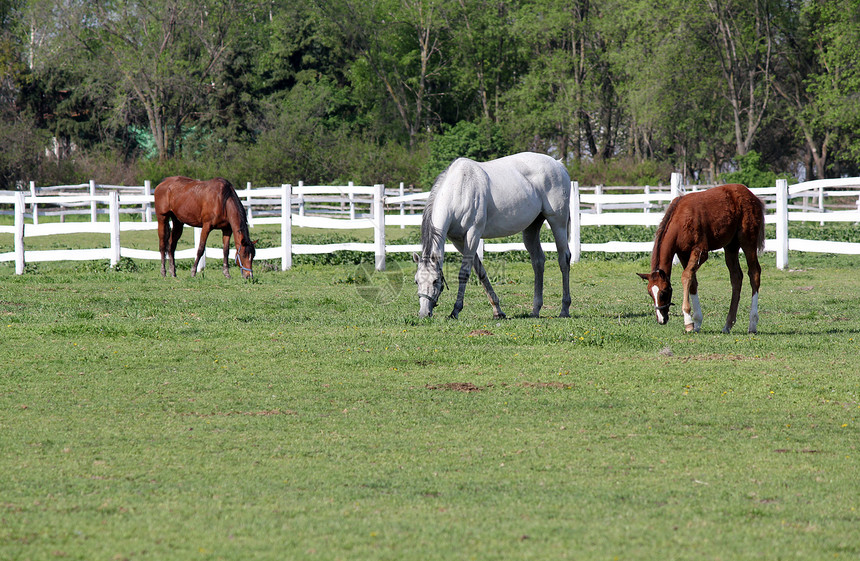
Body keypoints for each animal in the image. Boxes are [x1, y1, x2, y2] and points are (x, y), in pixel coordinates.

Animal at [414, 152, 572, 320]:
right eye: (416, 281)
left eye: (435, 280)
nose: (424, 313)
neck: (459, 191)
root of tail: (558, 164)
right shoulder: (458, 241)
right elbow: (480, 271)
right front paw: (498, 310)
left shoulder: (473, 234)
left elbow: (464, 272)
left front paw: (455, 310)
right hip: (532, 227)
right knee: (538, 262)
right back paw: (535, 310)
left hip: (558, 222)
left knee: (564, 259)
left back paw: (564, 309)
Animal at [640, 184, 764, 332]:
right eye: (650, 293)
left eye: (664, 292)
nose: (661, 320)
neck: (681, 219)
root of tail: (753, 196)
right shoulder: (683, 254)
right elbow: (692, 281)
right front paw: (697, 322)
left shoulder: (700, 252)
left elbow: (686, 276)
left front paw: (688, 321)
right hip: (731, 246)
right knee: (736, 277)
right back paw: (728, 324)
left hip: (747, 240)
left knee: (754, 273)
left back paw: (753, 323)